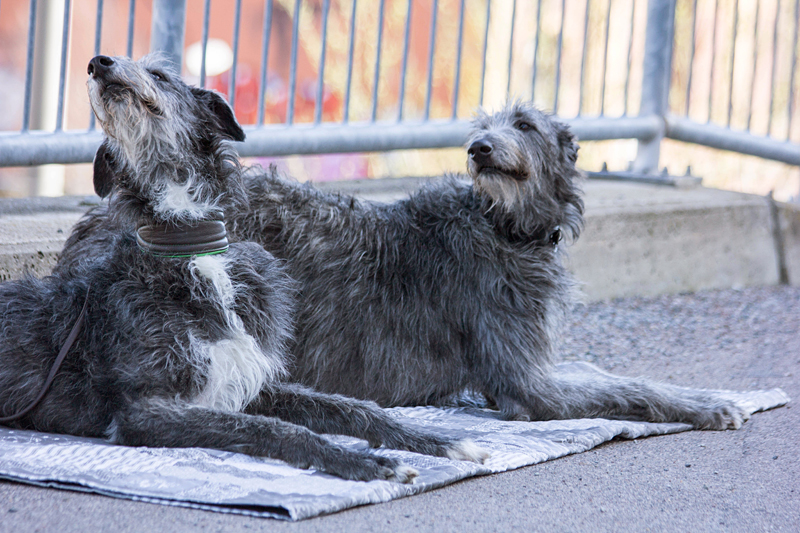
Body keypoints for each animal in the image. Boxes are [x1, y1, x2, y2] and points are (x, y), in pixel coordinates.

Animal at [0, 55, 484, 482]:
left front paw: (438, 441)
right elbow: (274, 429)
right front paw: (365, 462)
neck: (192, 249)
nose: (98, 64)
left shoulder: (246, 379)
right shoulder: (147, 410)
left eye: (159, 74)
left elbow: (351, 407)